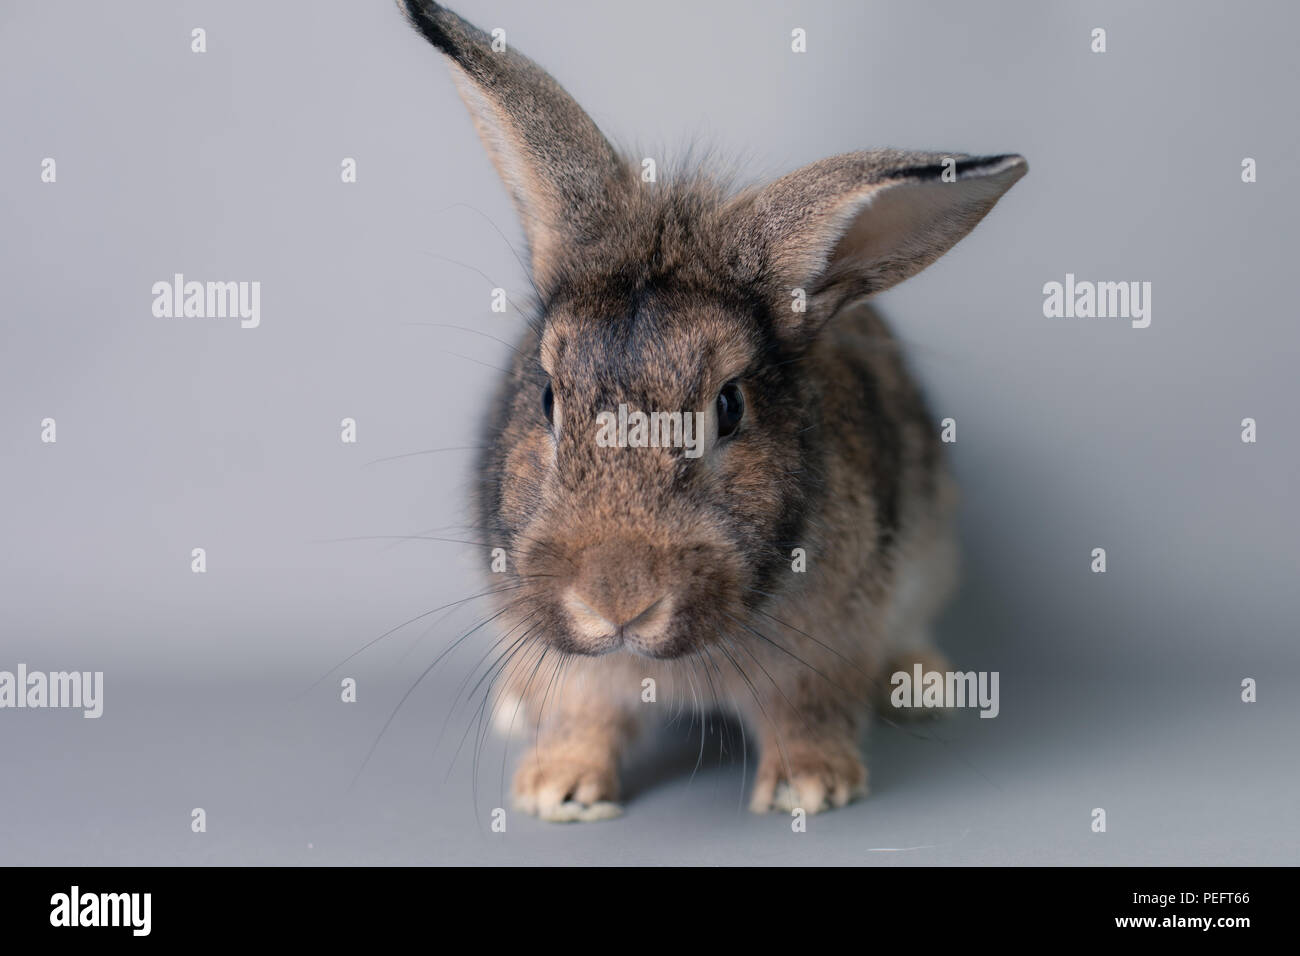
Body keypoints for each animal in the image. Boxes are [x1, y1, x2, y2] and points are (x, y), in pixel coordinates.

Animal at [397, 0, 1026, 822]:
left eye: (729, 406)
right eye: (547, 397)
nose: (617, 600)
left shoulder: (831, 643)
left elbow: (805, 710)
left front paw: (810, 786)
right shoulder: (573, 659)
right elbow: (585, 709)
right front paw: (557, 790)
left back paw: (925, 686)